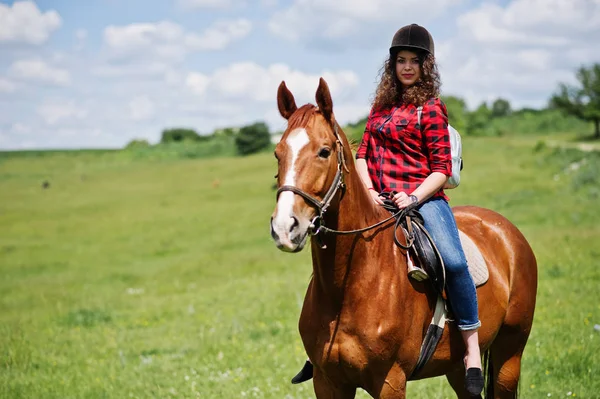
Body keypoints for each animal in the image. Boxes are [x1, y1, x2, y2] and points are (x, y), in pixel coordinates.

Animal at [270, 76, 536, 398]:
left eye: (324, 151)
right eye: (278, 153)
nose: (285, 227)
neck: (348, 286)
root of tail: (506, 230)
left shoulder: (390, 380)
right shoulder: (327, 382)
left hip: (509, 355)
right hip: (457, 370)